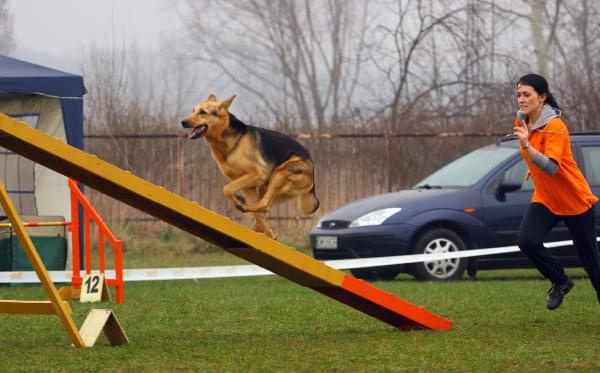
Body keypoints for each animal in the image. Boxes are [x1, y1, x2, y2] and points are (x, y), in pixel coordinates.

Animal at [180, 94, 318, 237]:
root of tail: (312, 171)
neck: (230, 140)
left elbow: (227, 189)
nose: (183, 122)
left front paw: (237, 200)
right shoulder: (248, 185)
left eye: (203, 112)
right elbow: (252, 210)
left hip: (279, 174)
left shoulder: (257, 174)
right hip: (266, 187)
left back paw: (244, 207)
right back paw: (264, 231)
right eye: (193, 111)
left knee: (264, 205)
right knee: (262, 210)